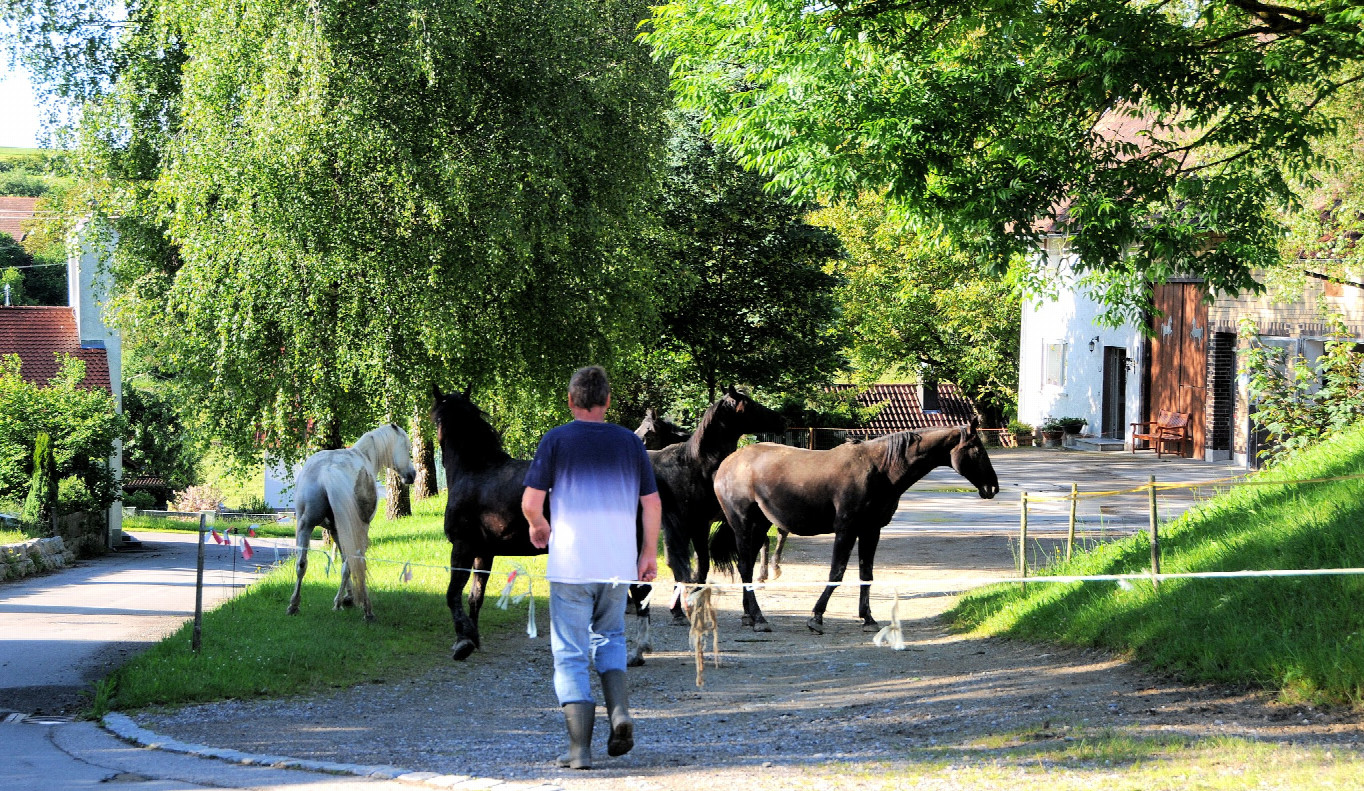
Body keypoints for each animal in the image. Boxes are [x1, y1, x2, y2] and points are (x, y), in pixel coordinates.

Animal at [286, 422, 414, 621]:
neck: (366, 456)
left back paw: (294, 605)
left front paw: (349, 596)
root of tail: (328, 470)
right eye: (407, 448)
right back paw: (363, 610)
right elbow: (349, 563)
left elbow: (343, 560)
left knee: (301, 564)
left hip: (305, 526)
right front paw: (344, 600)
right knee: (355, 561)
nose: (412, 475)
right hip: (357, 528)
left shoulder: (336, 531)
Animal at [624, 387, 785, 665]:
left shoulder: (702, 524)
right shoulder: (691, 525)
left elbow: (700, 566)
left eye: (648, 432)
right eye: (750, 406)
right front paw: (682, 609)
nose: (781, 420)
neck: (695, 466)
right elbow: (690, 566)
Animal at [709, 420, 998, 635]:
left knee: (746, 564)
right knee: (744, 565)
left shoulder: (871, 530)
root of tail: (727, 464)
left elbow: (866, 574)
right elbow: (836, 573)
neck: (880, 469)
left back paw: (749, 616)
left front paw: (868, 619)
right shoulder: (846, 530)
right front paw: (816, 618)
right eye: (977, 450)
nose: (992, 487)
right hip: (744, 523)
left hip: (759, 526)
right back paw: (759, 618)